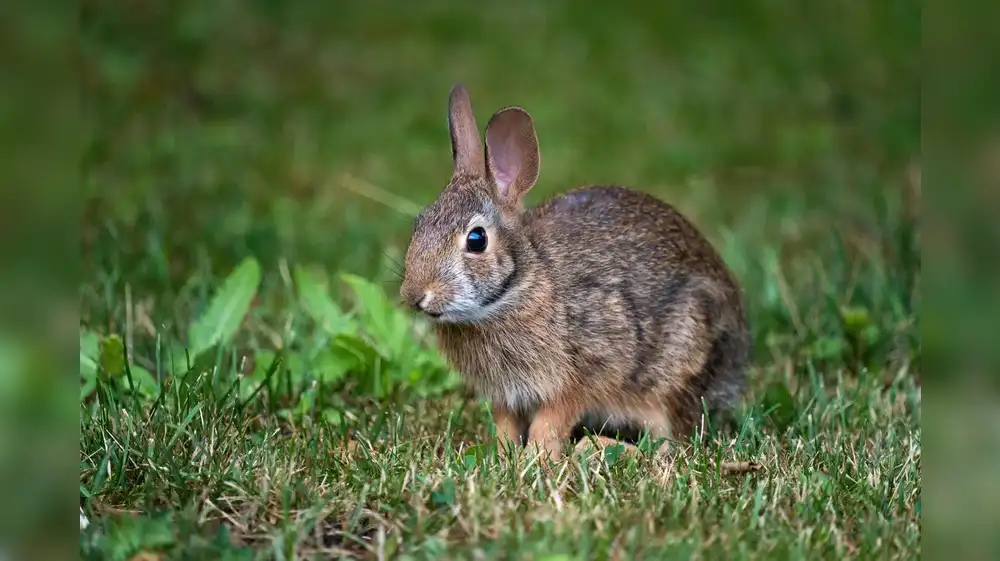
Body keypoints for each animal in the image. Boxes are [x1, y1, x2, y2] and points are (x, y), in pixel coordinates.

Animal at [400, 84, 751, 462]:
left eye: (476, 240)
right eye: (420, 223)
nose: (414, 296)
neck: (519, 287)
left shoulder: (587, 371)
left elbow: (553, 419)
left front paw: (538, 458)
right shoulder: (505, 396)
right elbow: (505, 424)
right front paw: (504, 456)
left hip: (675, 371)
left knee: (671, 445)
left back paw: (596, 447)